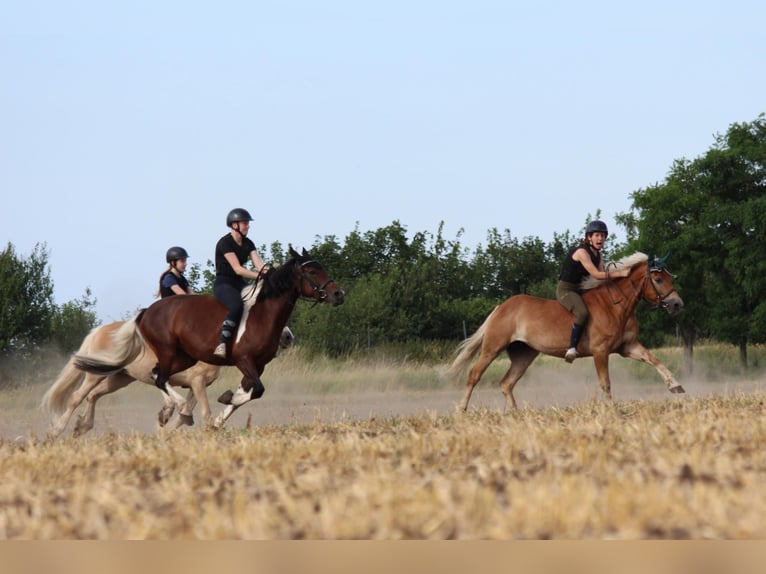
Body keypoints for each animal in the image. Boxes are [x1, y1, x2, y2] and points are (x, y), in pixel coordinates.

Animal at [41, 322, 296, 438]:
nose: (288, 336)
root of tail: (99, 330)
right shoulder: (197, 383)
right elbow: (202, 412)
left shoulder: (194, 386)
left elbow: (185, 414)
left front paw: (165, 431)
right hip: (95, 374)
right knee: (76, 397)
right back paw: (56, 431)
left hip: (119, 378)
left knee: (93, 396)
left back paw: (81, 427)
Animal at [74, 248, 344, 428]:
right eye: (311, 270)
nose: (338, 294)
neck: (262, 313)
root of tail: (146, 312)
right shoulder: (243, 360)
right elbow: (256, 390)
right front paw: (223, 402)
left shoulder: (257, 365)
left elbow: (247, 392)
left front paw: (220, 415)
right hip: (167, 353)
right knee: (158, 379)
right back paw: (180, 410)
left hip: (180, 358)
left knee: (155, 375)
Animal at [448, 254, 688, 412]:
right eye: (658, 279)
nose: (677, 304)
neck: (616, 304)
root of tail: (501, 307)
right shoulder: (600, 351)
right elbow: (605, 382)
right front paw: (611, 409)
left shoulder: (627, 347)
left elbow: (653, 359)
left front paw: (676, 386)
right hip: (492, 347)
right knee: (474, 375)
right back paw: (461, 410)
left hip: (524, 354)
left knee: (507, 383)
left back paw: (516, 415)